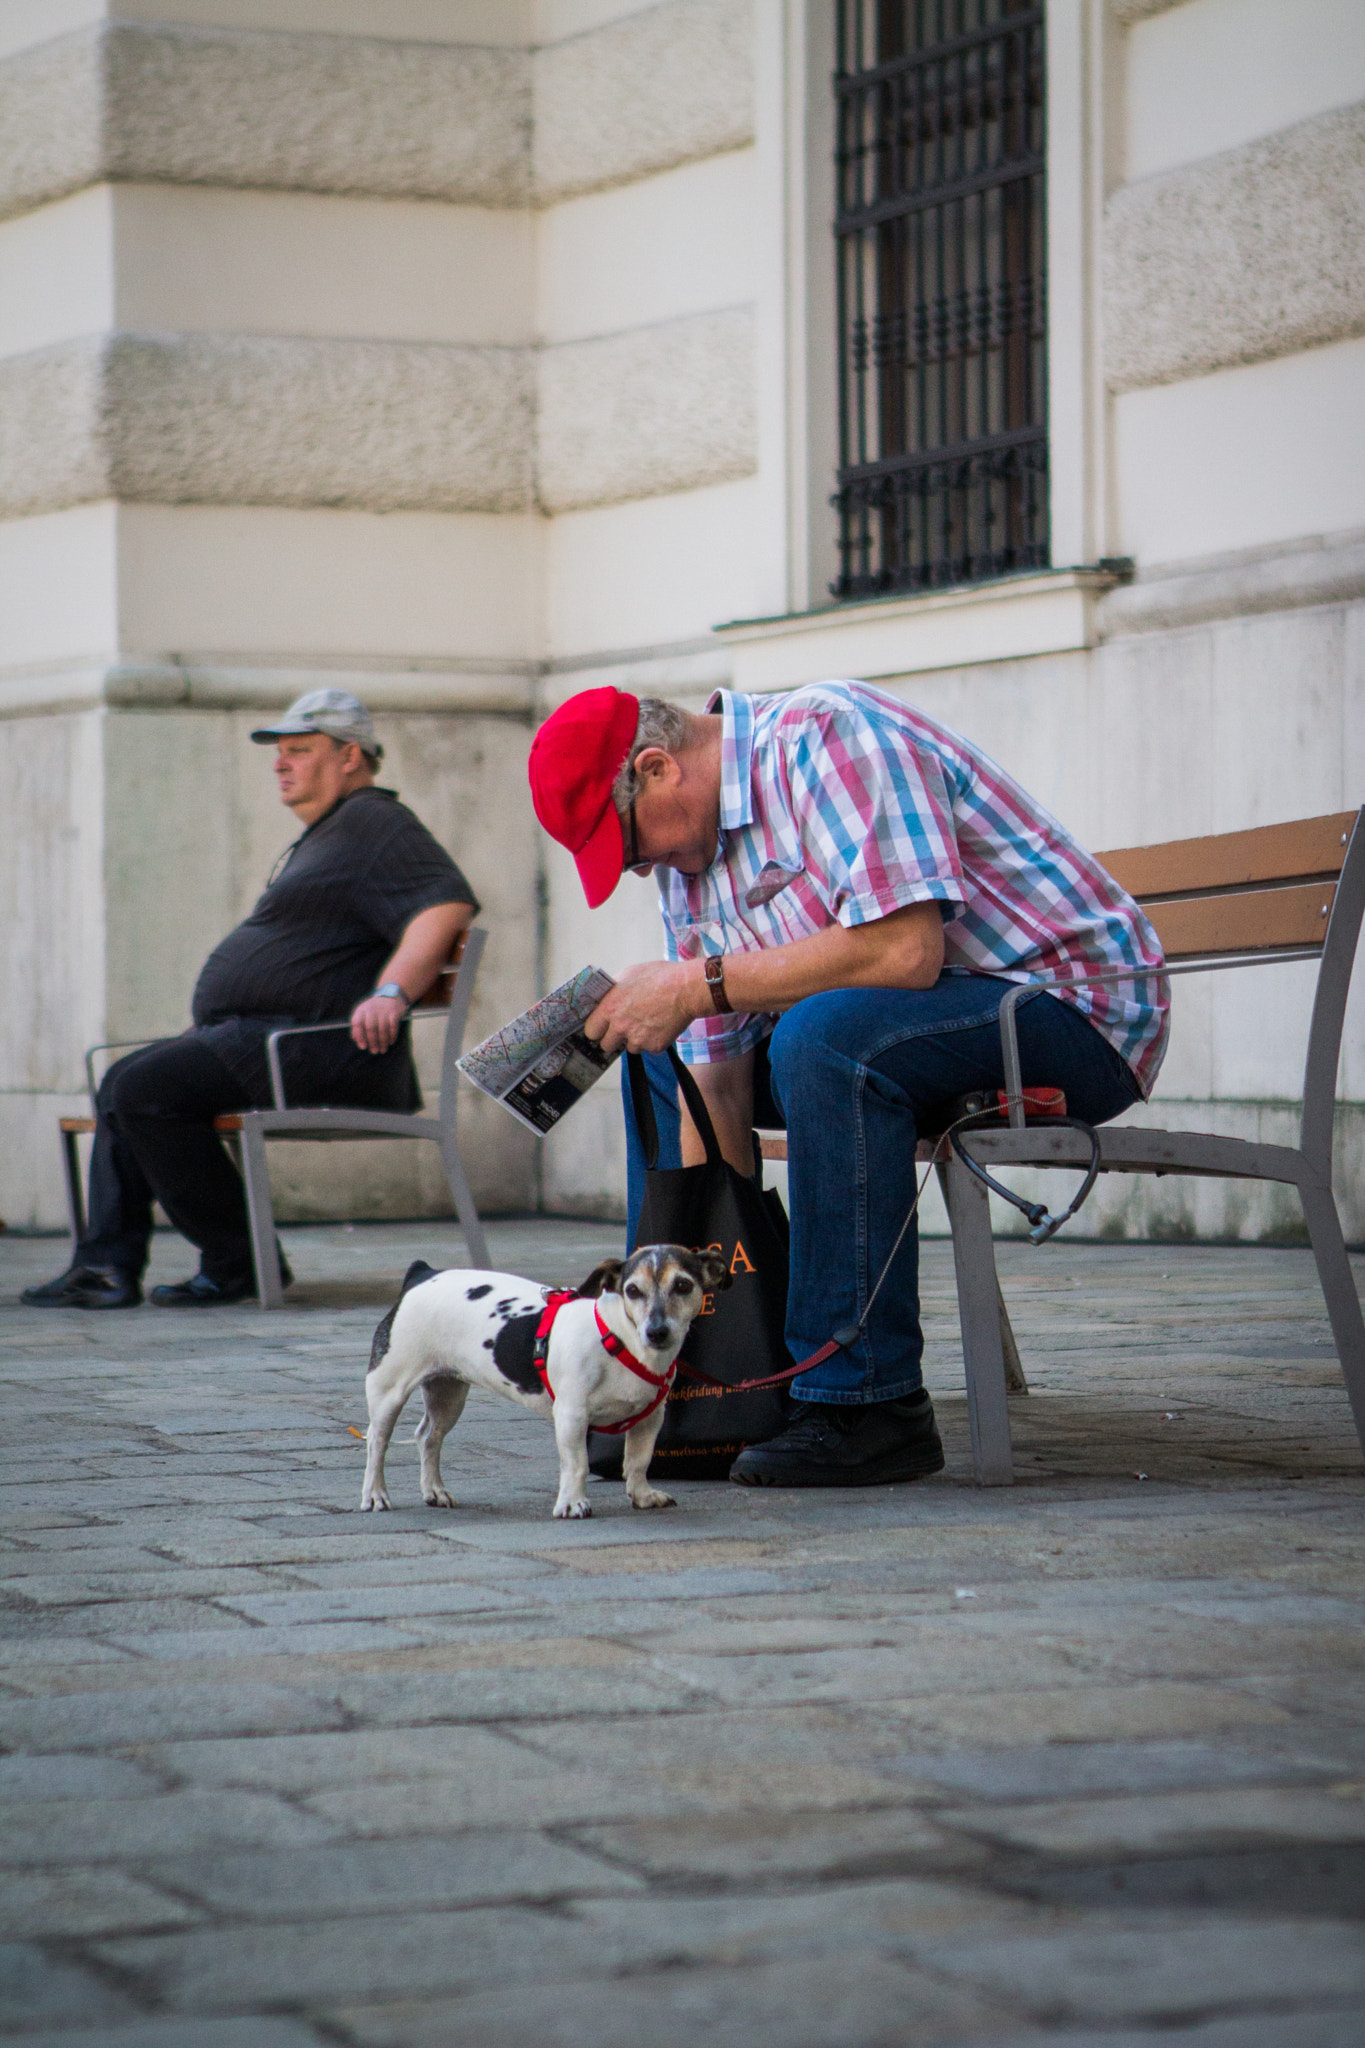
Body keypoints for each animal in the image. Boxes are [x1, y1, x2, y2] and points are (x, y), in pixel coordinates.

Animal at [360, 1228, 724, 1523]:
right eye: (632, 1291)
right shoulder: (571, 1415)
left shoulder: (650, 1419)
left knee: (429, 1437)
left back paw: (434, 1490)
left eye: (683, 1285)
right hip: (389, 1392)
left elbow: (638, 1460)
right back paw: (375, 1494)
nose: (657, 1331)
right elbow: (577, 1463)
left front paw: (642, 1495)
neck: (620, 1339)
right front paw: (573, 1504)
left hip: (447, 1394)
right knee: (377, 1442)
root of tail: (421, 1275)